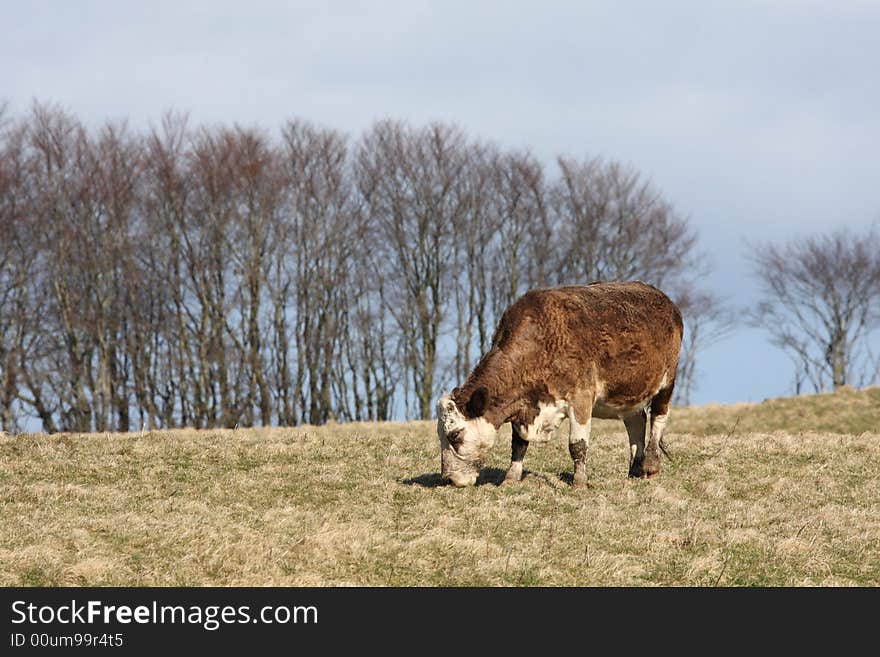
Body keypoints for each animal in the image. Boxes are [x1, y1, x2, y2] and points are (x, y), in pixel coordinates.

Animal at [436, 280, 684, 486]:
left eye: (454, 435)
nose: (448, 478)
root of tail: (664, 299)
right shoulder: (523, 406)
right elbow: (519, 444)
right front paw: (511, 478)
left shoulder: (581, 397)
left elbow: (577, 445)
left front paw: (579, 483)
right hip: (628, 393)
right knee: (636, 422)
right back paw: (634, 471)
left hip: (667, 382)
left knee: (658, 419)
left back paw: (650, 466)